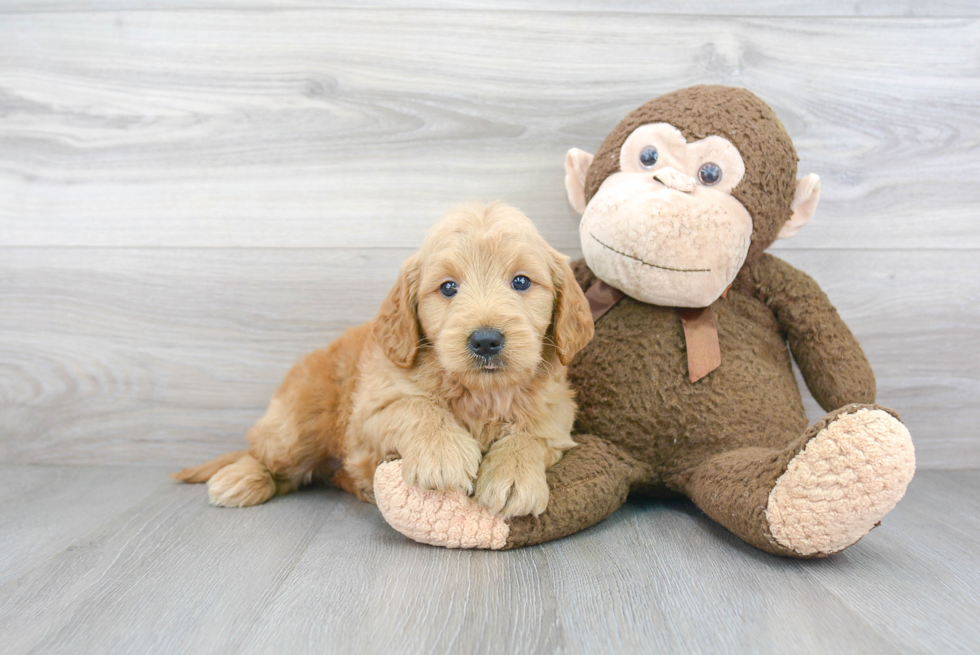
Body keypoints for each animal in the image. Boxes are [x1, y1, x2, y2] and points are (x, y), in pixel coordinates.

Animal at [172, 202, 592, 520]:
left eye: (521, 282)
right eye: (448, 288)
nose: (486, 340)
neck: (481, 394)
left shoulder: (557, 418)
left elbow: (530, 434)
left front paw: (513, 474)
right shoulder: (367, 415)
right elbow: (414, 406)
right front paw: (442, 452)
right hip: (296, 427)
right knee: (264, 452)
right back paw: (240, 478)